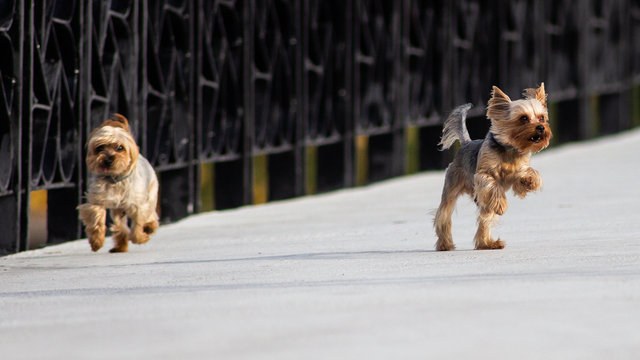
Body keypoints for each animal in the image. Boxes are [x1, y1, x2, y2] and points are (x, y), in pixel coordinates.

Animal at [76, 115, 160, 253]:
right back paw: (120, 246)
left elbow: (138, 223)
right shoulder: (97, 201)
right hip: (118, 210)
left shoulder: (138, 205)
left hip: (151, 192)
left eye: (120, 148)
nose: (108, 160)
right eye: (100, 148)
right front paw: (97, 241)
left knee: (151, 214)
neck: (115, 179)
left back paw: (149, 227)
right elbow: (97, 217)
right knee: (120, 225)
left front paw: (140, 237)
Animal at [432, 84, 552, 250]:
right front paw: (501, 204)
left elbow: (526, 173)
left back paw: (487, 243)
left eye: (541, 117)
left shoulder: (518, 170)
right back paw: (445, 244)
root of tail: (466, 143)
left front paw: (530, 180)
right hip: (452, 186)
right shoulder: (482, 175)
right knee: (443, 215)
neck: (510, 149)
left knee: (485, 219)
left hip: (484, 202)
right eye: (523, 118)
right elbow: (493, 184)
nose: (541, 127)